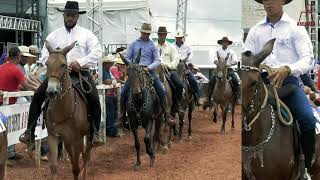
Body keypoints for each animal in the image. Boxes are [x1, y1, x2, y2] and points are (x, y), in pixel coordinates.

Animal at [44, 41, 91, 180]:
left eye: (63, 65)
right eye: (46, 64)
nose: (51, 91)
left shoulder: (78, 140)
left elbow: (76, 168)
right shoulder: (54, 136)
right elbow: (54, 167)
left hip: (88, 135)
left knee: (86, 156)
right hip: (68, 141)